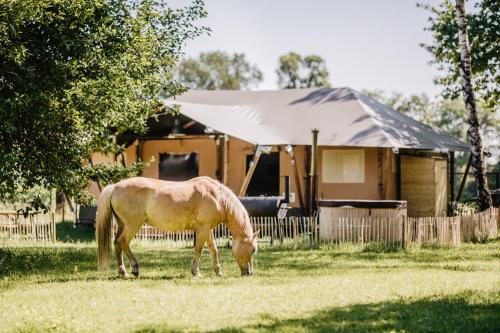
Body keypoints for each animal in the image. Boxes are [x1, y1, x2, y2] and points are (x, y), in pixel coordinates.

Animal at [95, 176, 258, 278]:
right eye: (253, 250)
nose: (249, 272)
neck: (217, 196)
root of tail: (115, 187)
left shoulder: (208, 229)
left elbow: (214, 249)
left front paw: (218, 271)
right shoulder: (203, 229)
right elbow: (198, 250)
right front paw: (196, 272)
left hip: (122, 225)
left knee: (117, 244)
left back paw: (123, 272)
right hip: (133, 225)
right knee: (123, 242)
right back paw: (134, 269)